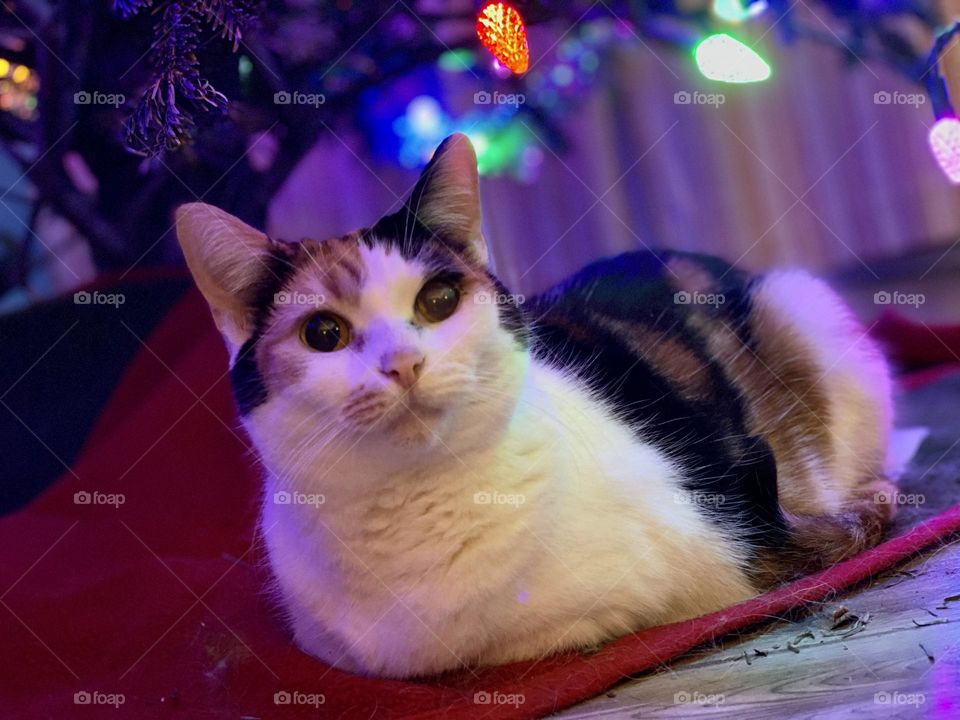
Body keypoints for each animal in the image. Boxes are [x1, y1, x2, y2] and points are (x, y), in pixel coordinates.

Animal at [176, 132, 896, 676]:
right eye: (323, 334)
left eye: (439, 300)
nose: (402, 364)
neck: (412, 503)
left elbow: (545, 632)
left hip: (807, 312)